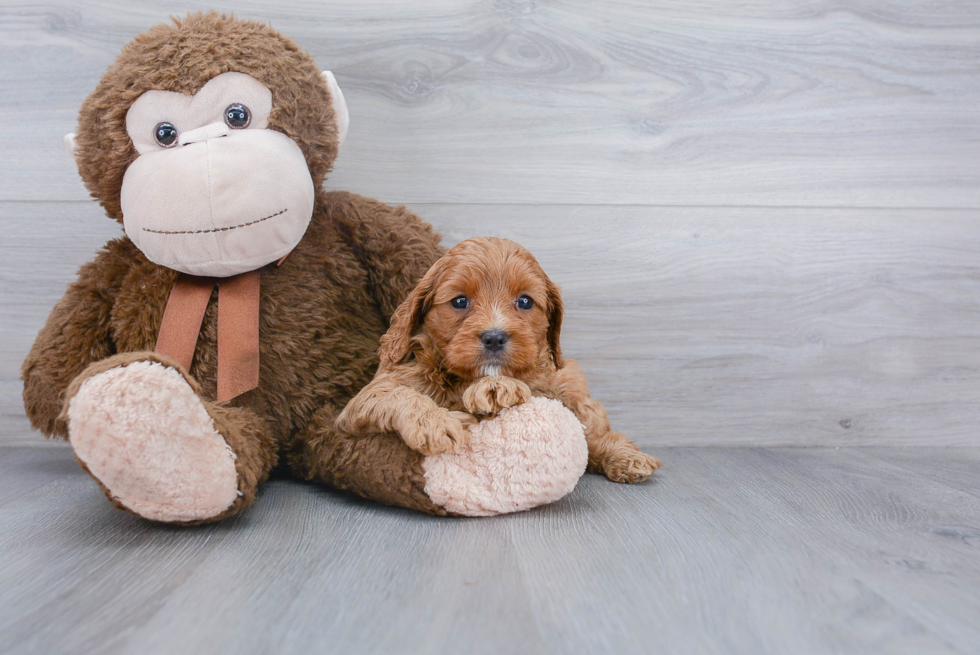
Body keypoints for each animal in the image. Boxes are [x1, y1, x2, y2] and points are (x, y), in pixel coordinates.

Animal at [334, 238, 664, 484]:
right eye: (459, 301)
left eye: (525, 301)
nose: (494, 337)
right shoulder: (361, 404)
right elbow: (398, 395)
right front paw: (438, 423)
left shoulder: (552, 382)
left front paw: (496, 388)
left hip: (571, 378)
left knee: (594, 428)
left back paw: (629, 458)